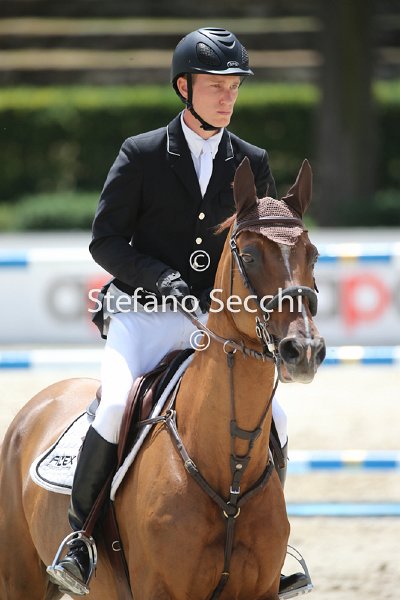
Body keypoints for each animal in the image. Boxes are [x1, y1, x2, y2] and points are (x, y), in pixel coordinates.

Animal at [0, 157, 325, 600]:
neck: (227, 467)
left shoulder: (258, 591)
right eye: (250, 256)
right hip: (18, 578)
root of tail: (46, 398)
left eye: (313, 255)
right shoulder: (160, 589)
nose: (303, 350)